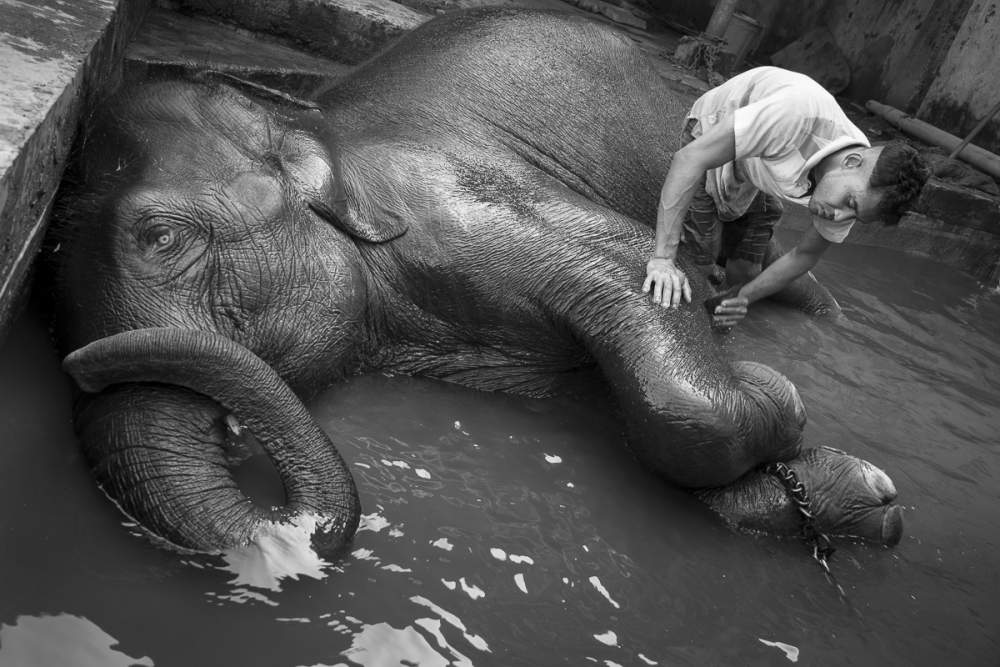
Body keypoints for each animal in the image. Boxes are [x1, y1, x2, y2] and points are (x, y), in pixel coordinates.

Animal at [45, 7, 900, 568]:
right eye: (48, 280)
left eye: (163, 238)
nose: (81, 363)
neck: (313, 126)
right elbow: (600, 400)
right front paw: (860, 491)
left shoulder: (468, 206)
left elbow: (644, 282)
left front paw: (777, 392)